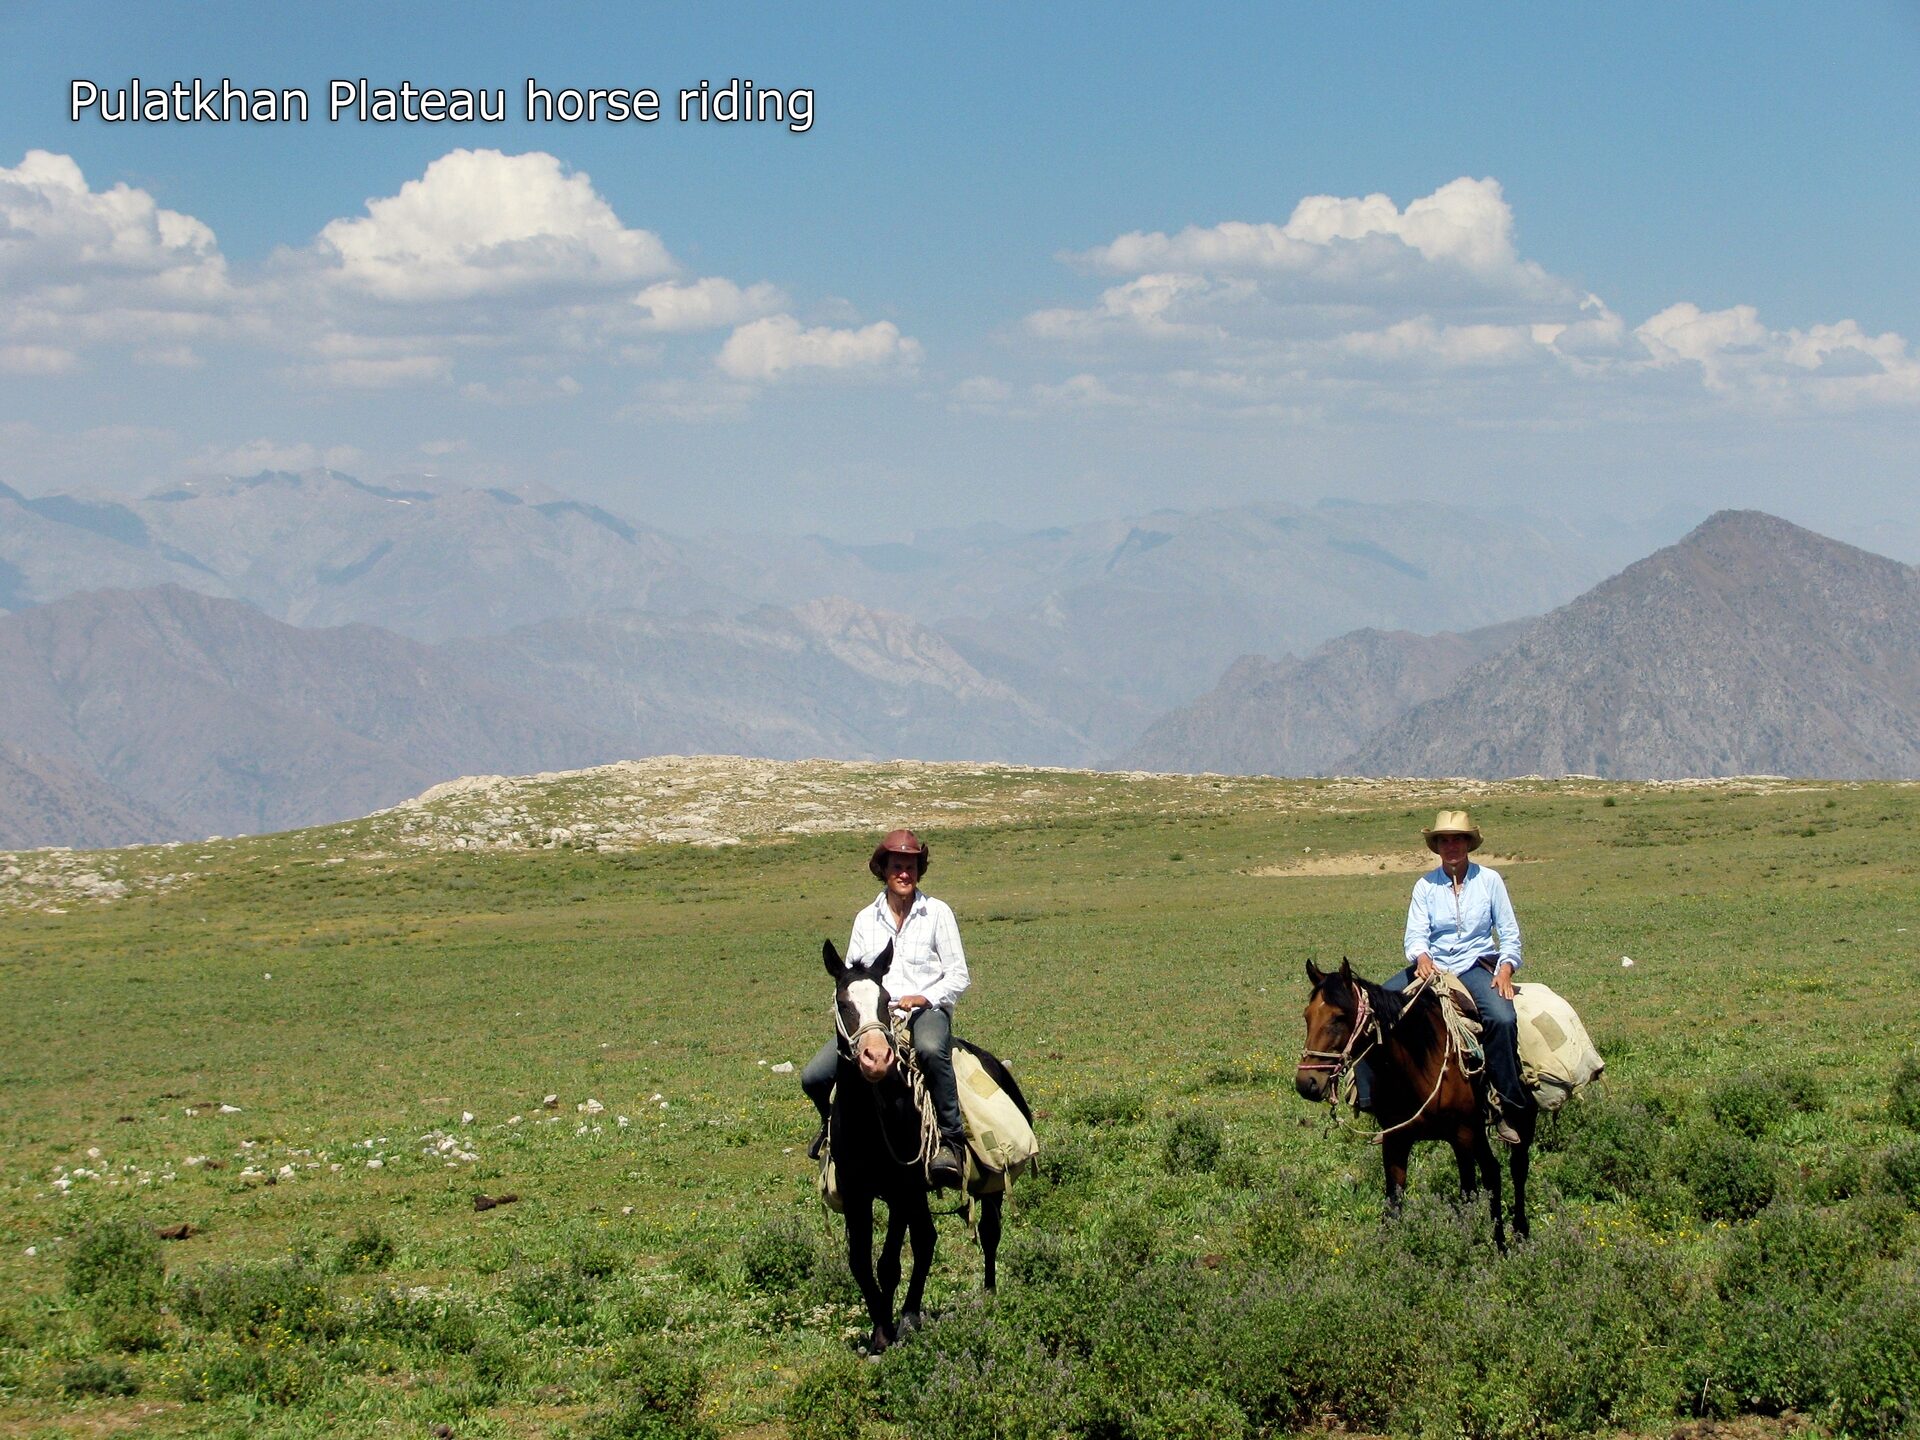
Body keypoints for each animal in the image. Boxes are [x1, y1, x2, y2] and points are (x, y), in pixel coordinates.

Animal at [825, 936, 1036, 1351]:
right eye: (843, 1002)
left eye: (885, 999)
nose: (877, 1057)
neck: (870, 1118)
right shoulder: (859, 1195)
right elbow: (860, 1262)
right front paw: (880, 1329)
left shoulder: (902, 1190)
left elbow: (890, 1262)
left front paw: (892, 1329)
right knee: (928, 1238)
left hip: (989, 1183)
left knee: (986, 1232)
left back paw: (980, 1296)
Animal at [1297, 963, 1536, 1259]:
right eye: (1307, 1016)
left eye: (1340, 1017)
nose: (1306, 1083)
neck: (1418, 1064)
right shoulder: (1396, 1139)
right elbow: (1393, 1202)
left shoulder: (1463, 1136)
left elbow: (1473, 1191)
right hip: (1474, 1133)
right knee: (1487, 1175)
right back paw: (1497, 1239)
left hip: (1518, 1122)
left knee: (1517, 1168)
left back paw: (1519, 1233)